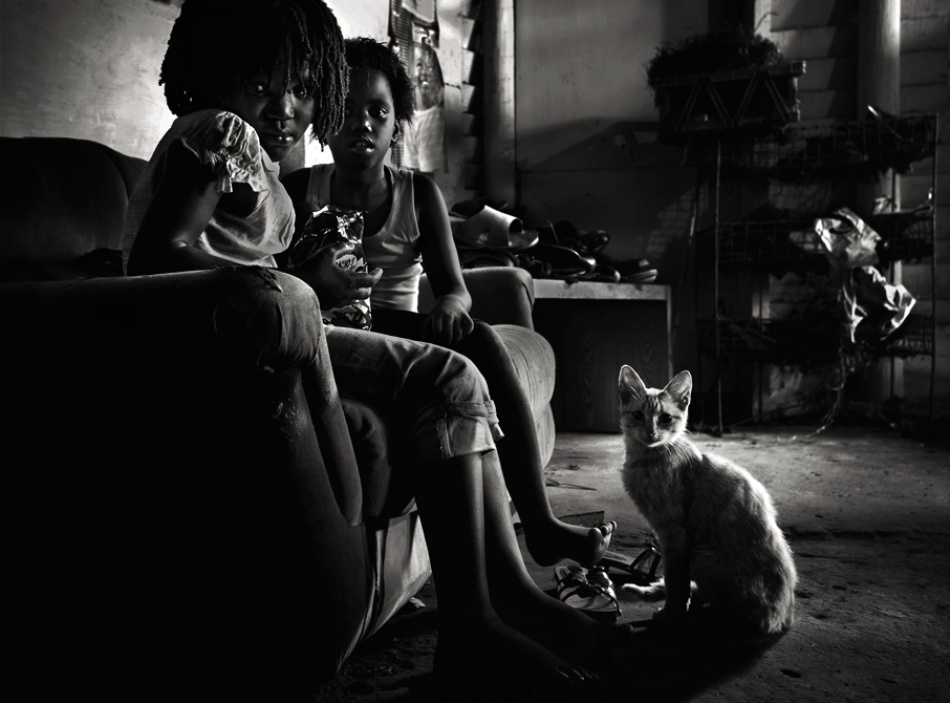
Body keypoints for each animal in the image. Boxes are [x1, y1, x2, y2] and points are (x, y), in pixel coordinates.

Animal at [617, 365, 797, 635]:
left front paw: (672, 613)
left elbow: (676, 581)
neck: (647, 458)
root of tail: (784, 618)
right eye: (638, 415)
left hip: (701, 557)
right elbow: (675, 581)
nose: (651, 432)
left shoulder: (675, 537)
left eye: (665, 418)